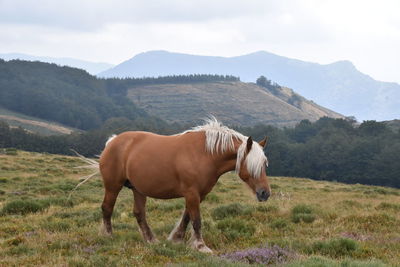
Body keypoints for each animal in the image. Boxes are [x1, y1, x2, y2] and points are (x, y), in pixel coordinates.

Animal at [98, 119, 270, 253]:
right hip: (113, 186)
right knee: (107, 208)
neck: (204, 154)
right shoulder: (192, 193)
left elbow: (187, 217)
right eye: (253, 165)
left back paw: (151, 240)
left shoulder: (199, 194)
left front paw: (176, 239)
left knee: (139, 213)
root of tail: (113, 141)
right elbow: (196, 220)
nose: (265, 193)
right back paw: (108, 236)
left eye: (264, 164)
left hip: (138, 189)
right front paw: (201, 246)